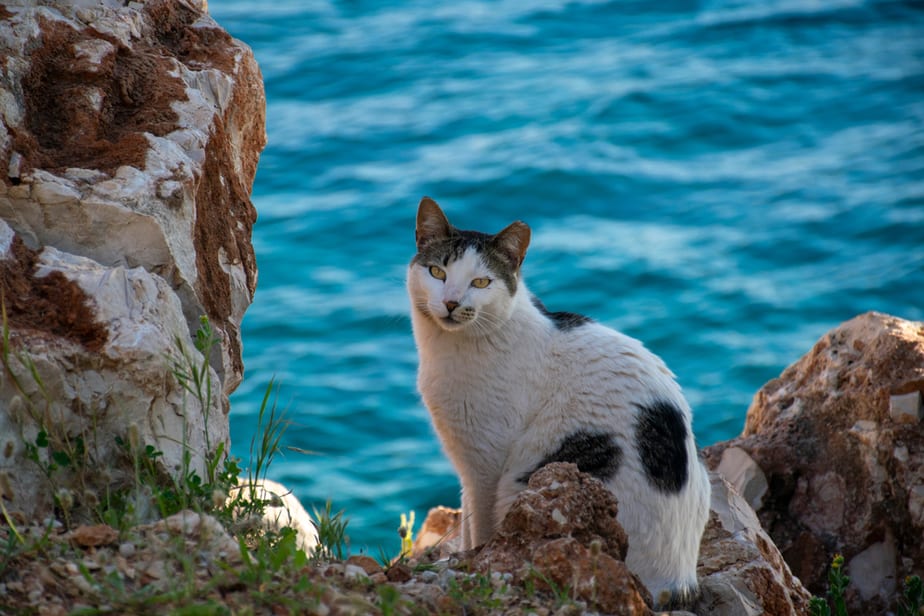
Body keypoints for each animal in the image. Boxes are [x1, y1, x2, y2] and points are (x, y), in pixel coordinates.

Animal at [406, 196, 716, 608]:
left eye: (481, 282)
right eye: (437, 272)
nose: (452, 302)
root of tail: (680, 581)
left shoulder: (485, 463)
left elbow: (479, 524)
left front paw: (473, 560)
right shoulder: (467, 464)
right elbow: (468, 517)